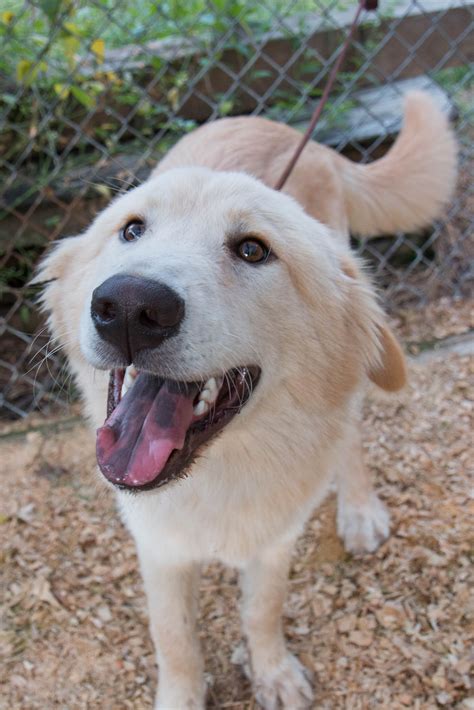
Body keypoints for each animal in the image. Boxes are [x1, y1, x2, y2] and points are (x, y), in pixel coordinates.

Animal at [37, 92, 456, 708]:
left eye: (253, 250)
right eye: (132, 230)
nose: (131, 306)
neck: (219, 472)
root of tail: (277, 126)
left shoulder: (275, 542)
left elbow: (262, 612)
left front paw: (272, 673)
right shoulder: (158, 548)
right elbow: (174, 637)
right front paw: (183, 695)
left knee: (350, 436)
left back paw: (358, 510)